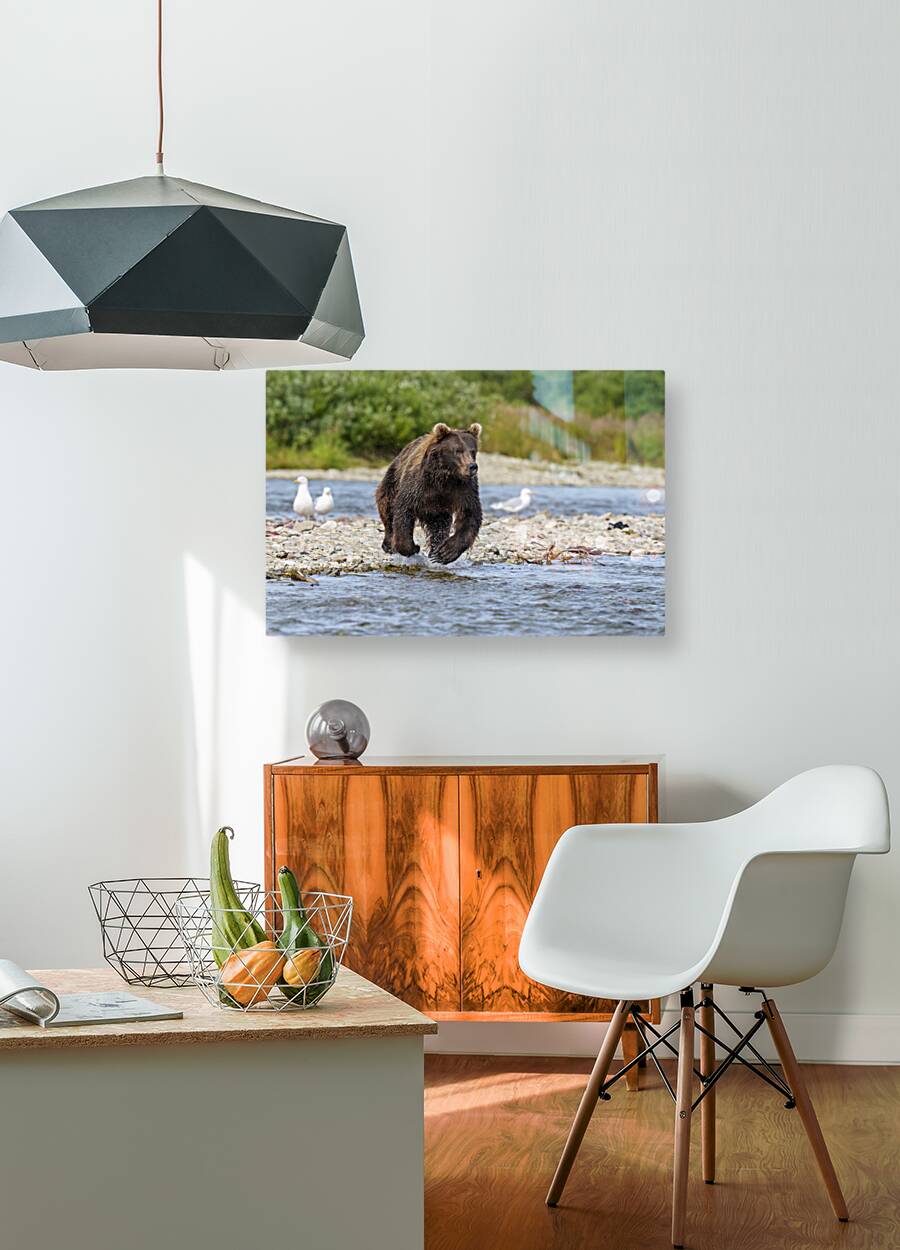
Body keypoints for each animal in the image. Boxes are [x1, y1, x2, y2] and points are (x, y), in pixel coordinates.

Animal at [375, 422, 483, 565]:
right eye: (457, 450)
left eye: (473, 451)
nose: (472, 467)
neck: (445, 477)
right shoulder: (418, 485)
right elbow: (403, 510)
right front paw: (413, 548)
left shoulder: (464, 488)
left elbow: (470, 514)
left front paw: (445, 552)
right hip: (393, 478)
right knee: (387, 506)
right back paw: (388, 543)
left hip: (437, 510)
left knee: (439, 525)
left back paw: (435, 550)